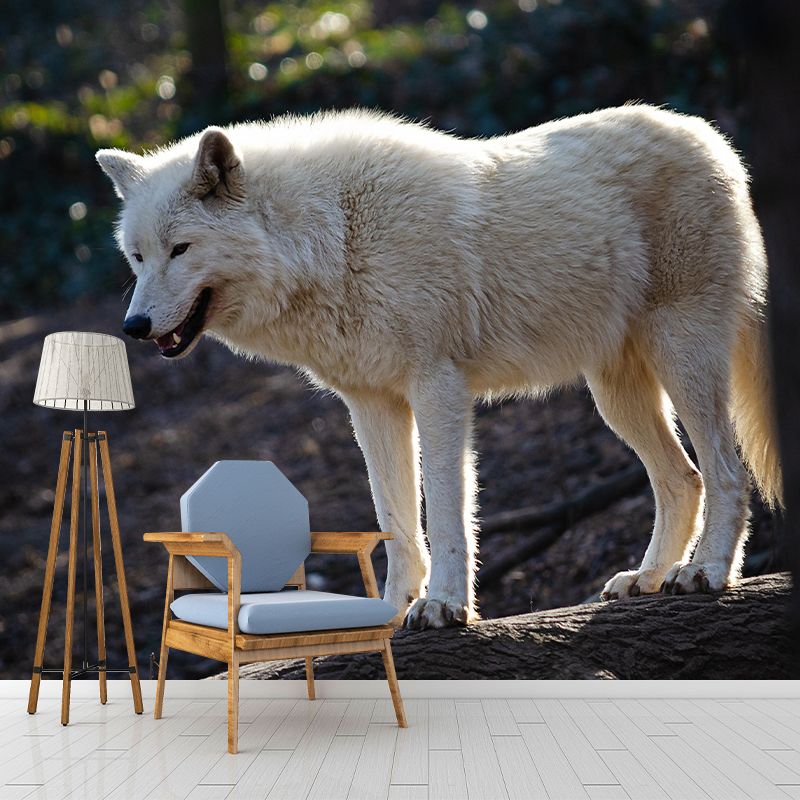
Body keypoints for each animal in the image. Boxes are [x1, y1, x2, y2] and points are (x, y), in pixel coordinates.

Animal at [96, 105, 781, 629]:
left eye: (181, 249)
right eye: (137, 256)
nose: (133, 326)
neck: (334, 237)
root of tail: (713, 139)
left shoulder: (439, 389)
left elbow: (447, 512)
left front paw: (446, 606)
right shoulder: (371, 404)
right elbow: (396, 522)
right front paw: (391, 608)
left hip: (681, 357)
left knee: (726, 473)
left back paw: (705, 572)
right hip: (616, 397)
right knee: (683, 479)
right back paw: (647, 576)